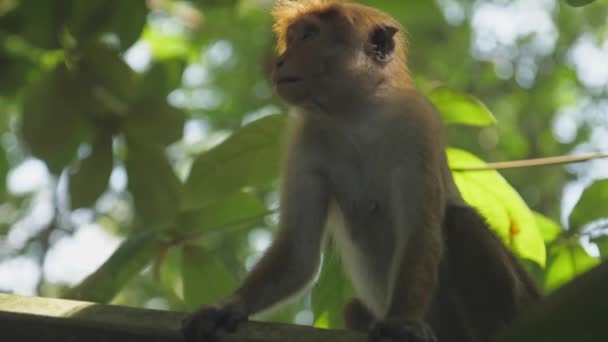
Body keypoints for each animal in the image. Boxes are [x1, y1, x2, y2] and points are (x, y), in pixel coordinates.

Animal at [182, 1, 540, 340]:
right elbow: (298, 255)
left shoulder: (417, 121)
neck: (356, 115)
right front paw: (228, 306)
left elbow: (420, 231)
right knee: (353, 307)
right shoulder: (307, 137)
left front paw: (401, 321)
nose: (279, 61)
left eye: (309, 36)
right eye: (292, 39)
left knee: (460, 222)